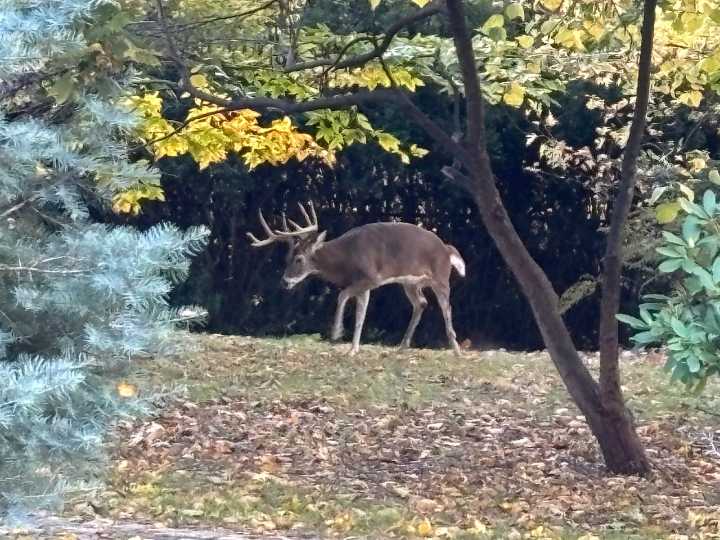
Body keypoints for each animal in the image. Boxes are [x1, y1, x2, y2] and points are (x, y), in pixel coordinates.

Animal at [247, 202, 466, 356]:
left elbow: (343, 296)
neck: (346, 258)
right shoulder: (363, 284)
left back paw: (456, 348)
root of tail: (446, 249)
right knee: (421, 303)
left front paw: (337, 334)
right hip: (409, 282)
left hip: (440, 276)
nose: (285, 282)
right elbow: (361, 314)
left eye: (299, 259)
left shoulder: (371, 277)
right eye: (286, 258)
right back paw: (402, 346)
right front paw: (353, 348)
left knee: (446, 306)